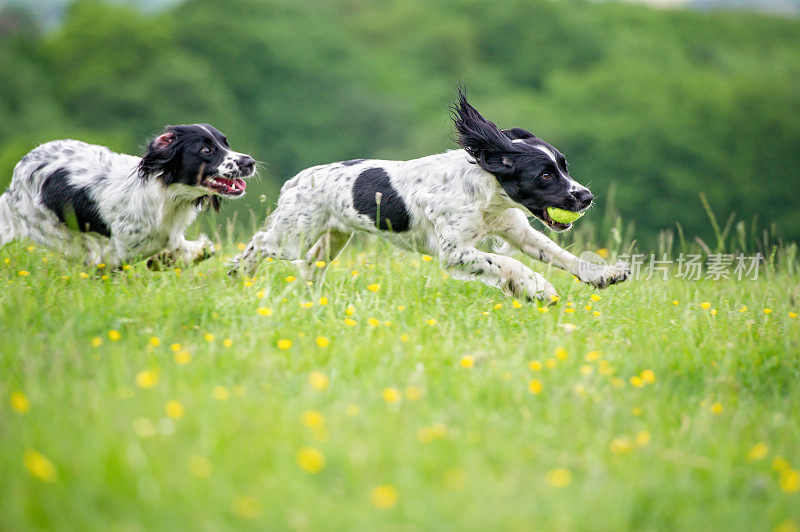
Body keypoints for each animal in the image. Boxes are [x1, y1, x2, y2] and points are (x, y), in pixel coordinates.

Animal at [0, 125, 255, 270]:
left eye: (225, 143)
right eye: (206, 150)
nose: (249, 162)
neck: (166, 195)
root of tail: (12, 185)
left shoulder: (170, 233)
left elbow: (200, 248)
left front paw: (170, 259)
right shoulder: (122, 249)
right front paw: (163, 260)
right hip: (57, 232)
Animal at [231, 92, 632, 304]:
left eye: (564, 166)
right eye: (545, 175)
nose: (586, 197)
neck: (485, 195)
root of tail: (296, 179)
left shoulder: (517, 230)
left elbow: (560, 255)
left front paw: (605, 274)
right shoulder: (452, 251)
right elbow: (508, 264)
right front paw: (537, 287)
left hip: (334, 237)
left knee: (312, 265)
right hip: (292, 236)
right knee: (260, 242)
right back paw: (237, 274)